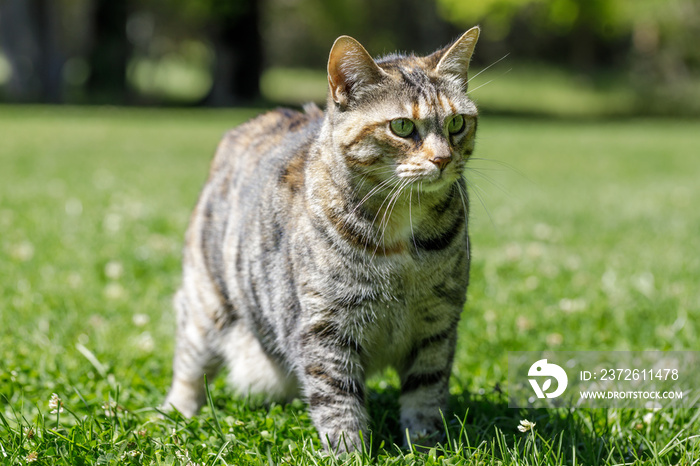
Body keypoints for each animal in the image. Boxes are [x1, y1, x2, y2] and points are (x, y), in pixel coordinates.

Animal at [164, 27, 482, 454]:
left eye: (457, 123)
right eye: (401, 127)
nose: (443, 159)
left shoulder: (438, 325)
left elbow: (425, 394)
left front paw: (427, 448)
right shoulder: (325, 327)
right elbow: (337, 400)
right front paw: (350, 453)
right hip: (207, 303)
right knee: (189, 366)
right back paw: (175, 414)